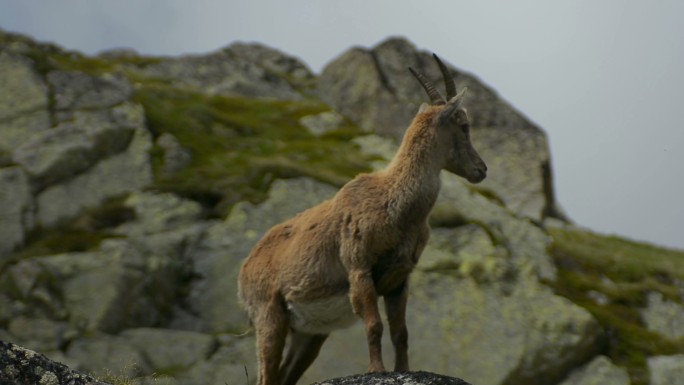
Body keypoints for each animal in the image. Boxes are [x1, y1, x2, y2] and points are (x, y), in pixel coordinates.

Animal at [238, 54, 488, 384]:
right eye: (464, 125)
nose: (481, 169)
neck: (394, 203)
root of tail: (245, 268)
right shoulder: (359, 268)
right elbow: (374, 325)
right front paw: (377, 370)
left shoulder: (399, 278)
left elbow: (401, 332)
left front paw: (403, 369)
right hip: (269, 316)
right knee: (267, 372)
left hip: (310, 333)